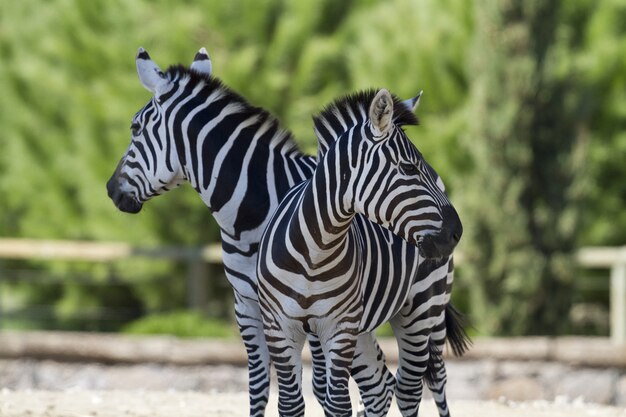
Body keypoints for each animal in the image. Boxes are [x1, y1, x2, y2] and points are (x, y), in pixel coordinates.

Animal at [105, 48, 424, 416]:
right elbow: (258, 386)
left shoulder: (310, 311)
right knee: (379, 384)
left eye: (135, 127)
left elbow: (318, 388)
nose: (110, 190)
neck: (249, 216)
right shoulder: (247, 304)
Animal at [255, 88, 464, 416]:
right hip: (366, 327)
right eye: (408, 168)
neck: (314, 253)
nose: (457, 232)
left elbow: (339, 403)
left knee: (413, 387)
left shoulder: (339, 327)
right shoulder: (279, 326)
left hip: (423, 309)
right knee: (381, 386)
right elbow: (290, 404)